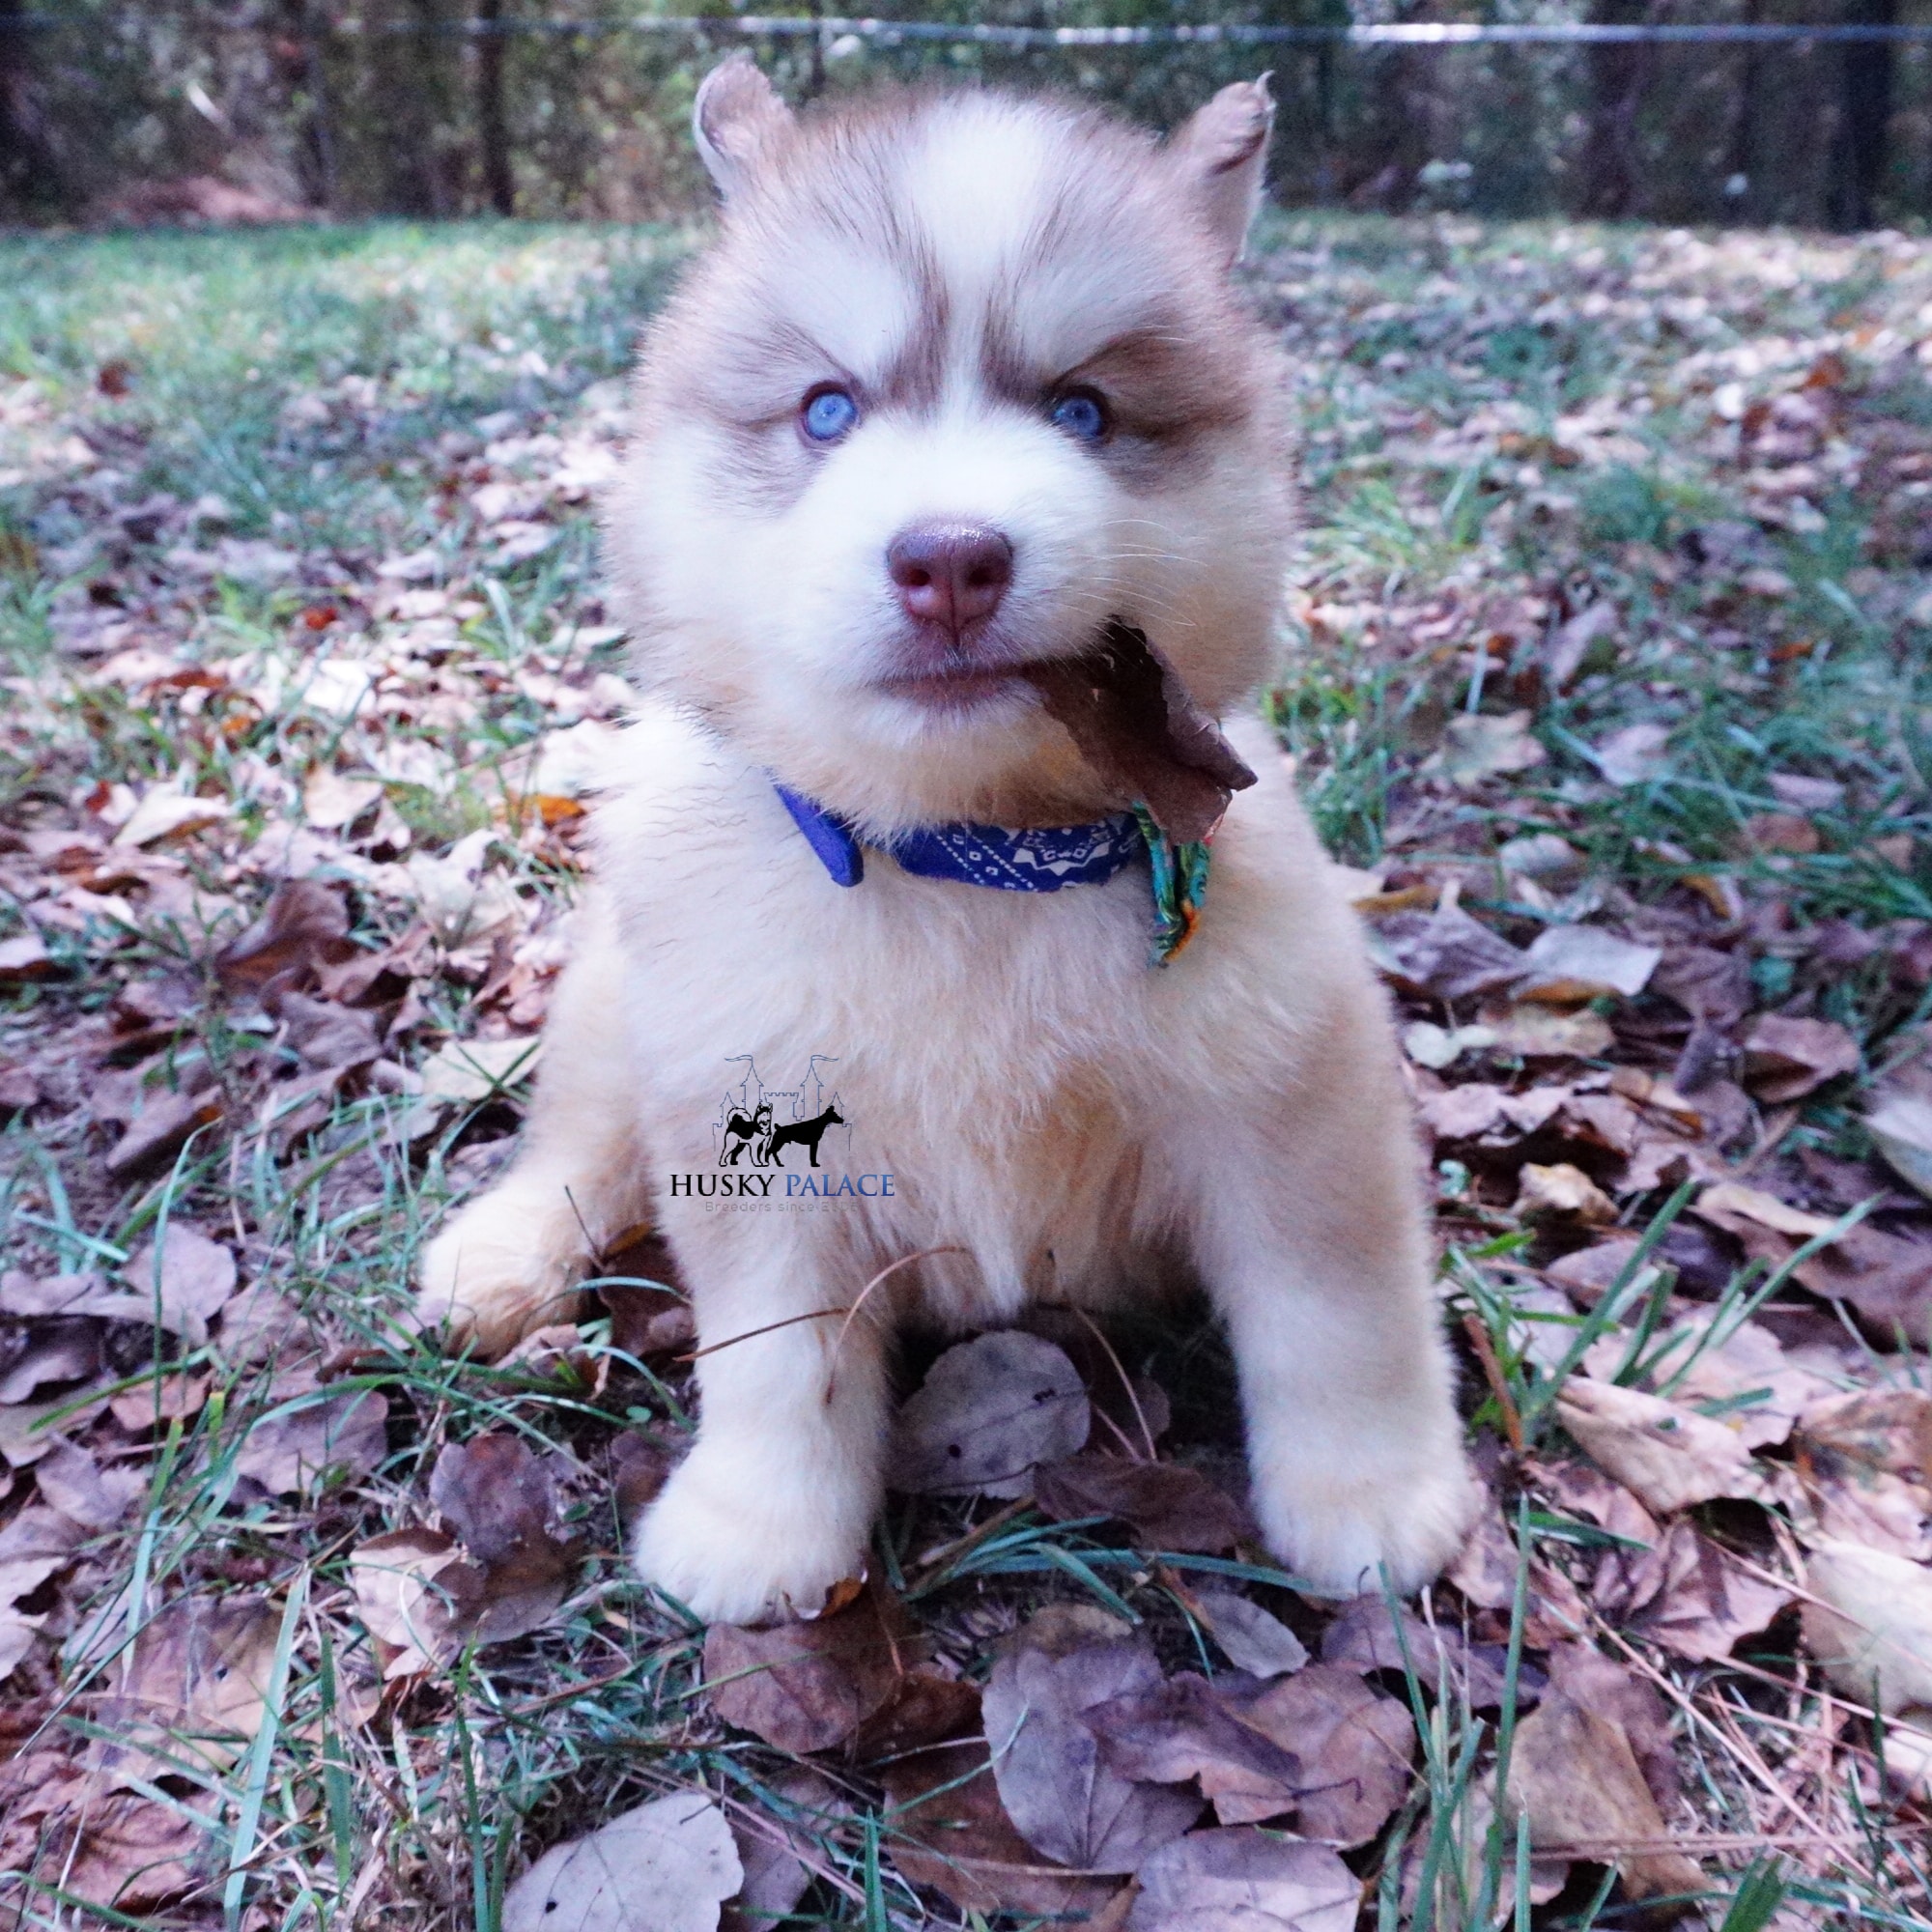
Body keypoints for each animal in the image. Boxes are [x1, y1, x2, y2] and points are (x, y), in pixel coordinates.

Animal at [419, 60, 1476, 1623]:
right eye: (826, 411)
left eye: (1084, 410)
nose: (952, 559)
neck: (972, 861)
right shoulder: (751, 1139)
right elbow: (775, 1355)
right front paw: (757, 1523)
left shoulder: (1296, 1095)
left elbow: (1339, 1312)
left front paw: (1372, 1492)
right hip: (620, 1009)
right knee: (575, 1143)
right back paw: (499, 1257)